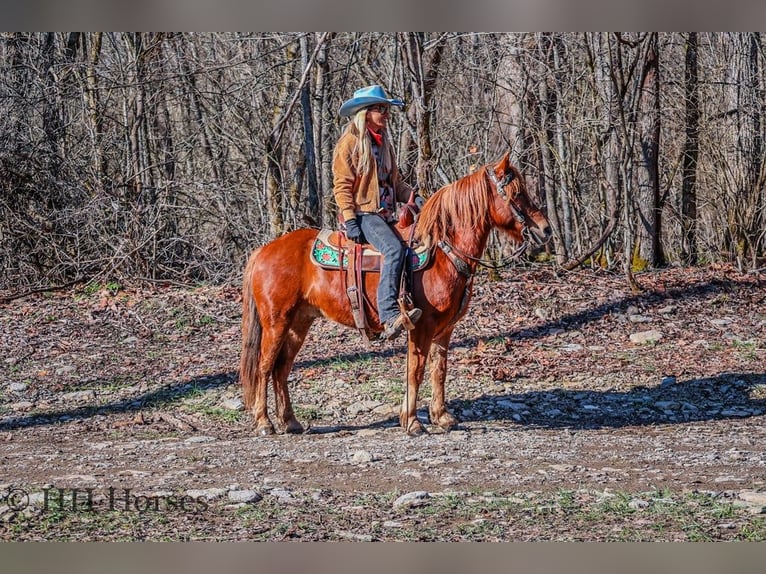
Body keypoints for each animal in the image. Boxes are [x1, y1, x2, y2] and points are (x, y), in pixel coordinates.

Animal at [240, 152, 552, 436]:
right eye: (517, 193)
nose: (545, 228)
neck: (443, 251)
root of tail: (264, 251)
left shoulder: (444, 329)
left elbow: (439, 370)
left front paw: (441, 417)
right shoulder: (421, 326)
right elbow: (416, 370)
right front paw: (412, 421)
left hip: (299, 323)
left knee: (281, 368)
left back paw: (290, 422)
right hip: (276, 322)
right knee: (265, 367)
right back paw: (264, 423)